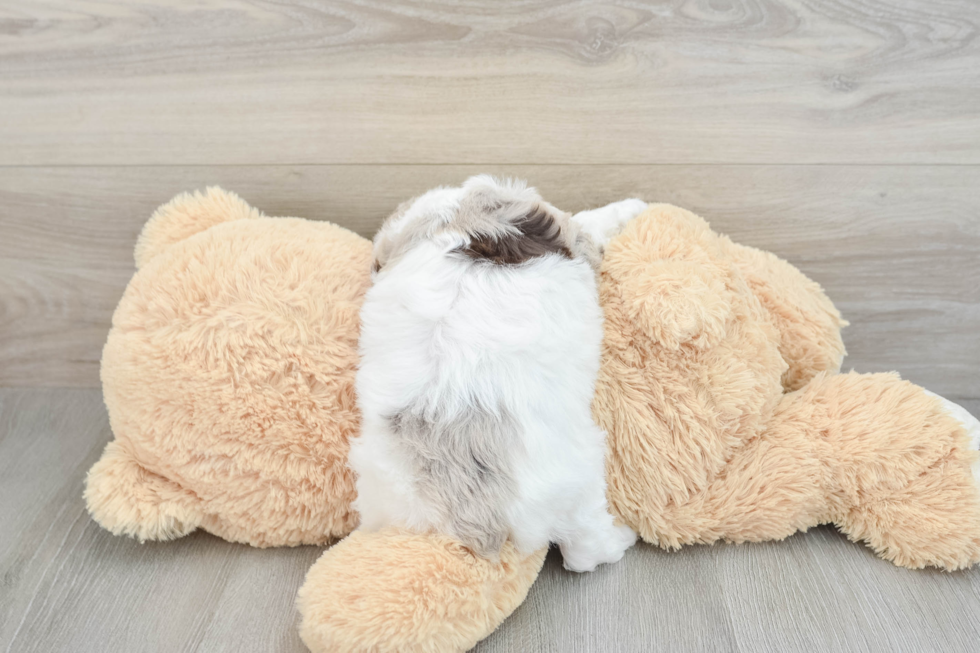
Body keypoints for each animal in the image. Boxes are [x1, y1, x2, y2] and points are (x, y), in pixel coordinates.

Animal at [350, 174, 644, 572]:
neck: (450, 226)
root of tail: (471, 517)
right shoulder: (572, 231)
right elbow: (594, 220)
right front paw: (634, 206)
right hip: (579, 484)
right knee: (585, 551)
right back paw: (623, 538)